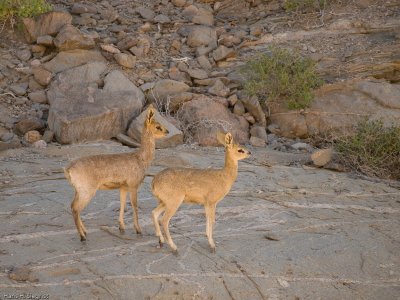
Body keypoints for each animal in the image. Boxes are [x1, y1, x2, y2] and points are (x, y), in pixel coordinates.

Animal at [65, 105, 168, 241]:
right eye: (157, 126)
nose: (167, 132)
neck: (140, 159)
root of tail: (68, 170)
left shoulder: (123, 187)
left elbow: (122, 204)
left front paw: (121, 226)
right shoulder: (133, 185)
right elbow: (134, 205)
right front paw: (138, 230)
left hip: (78, 190)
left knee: (73, 206)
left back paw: (85, 231)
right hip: (87, 190)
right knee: (76, 208)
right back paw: (82, 236)